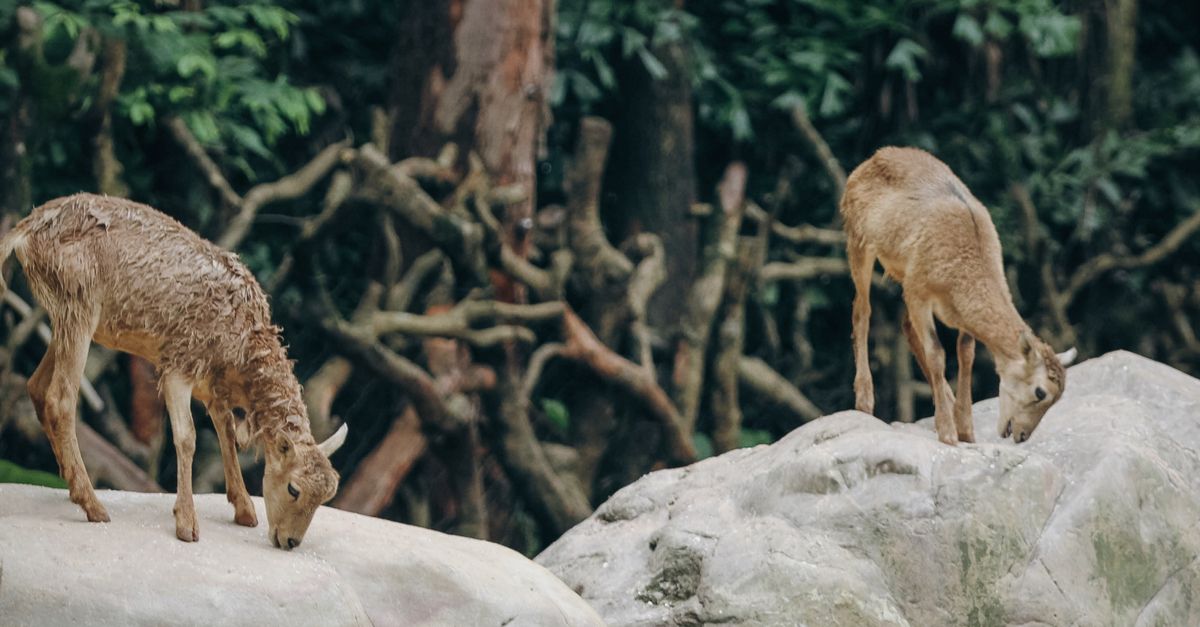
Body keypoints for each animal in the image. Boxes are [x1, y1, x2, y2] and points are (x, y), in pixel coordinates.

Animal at [0, 193, 347, 549]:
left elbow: (226, 433)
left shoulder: (212, 386)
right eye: (294, 488)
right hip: (79, 305)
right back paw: (92, 504)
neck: (243, 348)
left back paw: (72, 486)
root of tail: (24, 231)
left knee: (36, 386)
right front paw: (187, 524)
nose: (290, 541)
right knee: (60, 398)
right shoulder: (179, 366)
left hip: (64, 317)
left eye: (326, 496)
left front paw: (245, 510)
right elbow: (187, 436)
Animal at [840, 147, 1076, 446]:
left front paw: (966, 430)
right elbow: (937, 353)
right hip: (858, 241)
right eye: (1040, 392)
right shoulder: (918, 291)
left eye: (1057, 399)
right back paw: (864, 401)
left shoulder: (948, 308)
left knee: (905, 325)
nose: (1022, 435)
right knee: (862, 310)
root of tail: (868, 161)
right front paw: (948, 433)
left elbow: (966, 353)